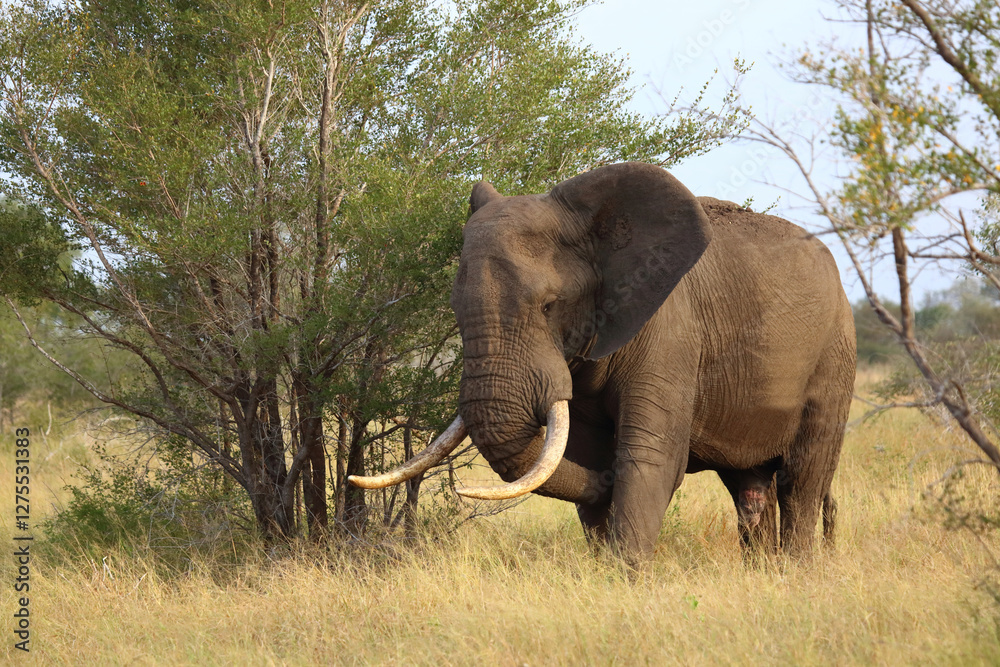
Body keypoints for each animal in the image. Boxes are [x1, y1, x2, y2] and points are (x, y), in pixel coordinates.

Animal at [350, 162, 856, 563]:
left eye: (549, 306)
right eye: (454, 308)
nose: (459, 490)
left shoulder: (670, 332)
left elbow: (649, 457)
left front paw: (625, 574)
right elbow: (590, 454)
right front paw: (603, 556)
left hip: (835, 353)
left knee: (802, 480)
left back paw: (796, 571)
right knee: (750, 490)